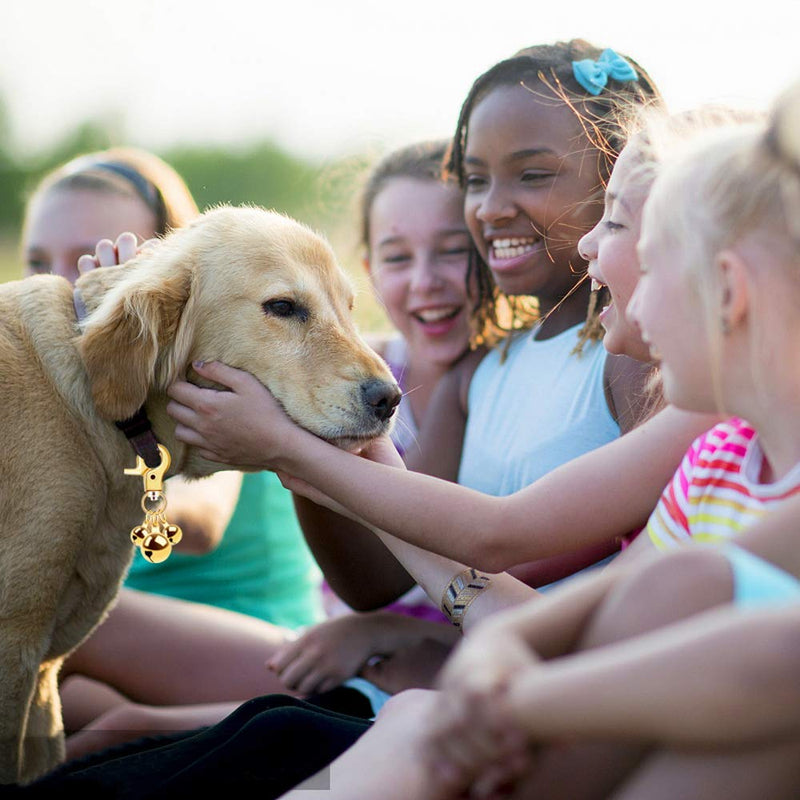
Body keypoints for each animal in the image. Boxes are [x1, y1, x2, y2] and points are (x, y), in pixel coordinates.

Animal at [0, 203, 400, 784]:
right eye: (283, 307)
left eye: (348, 308)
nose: (390, 399)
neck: (99, 407)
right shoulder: (16, 651)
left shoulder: (42, 670)